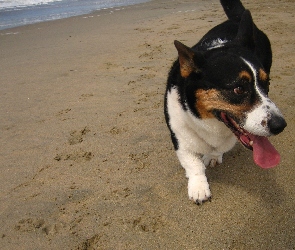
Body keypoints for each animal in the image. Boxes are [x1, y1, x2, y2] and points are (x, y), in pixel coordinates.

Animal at [164, 0, 286, 204]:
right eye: (238, 89)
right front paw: (198, 188)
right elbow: (192, 163)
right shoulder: (179, 135)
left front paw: (213, 156)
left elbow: (217, 149)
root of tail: (237, 18)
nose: (280, 125)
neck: (211, 123)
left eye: (266, 83)